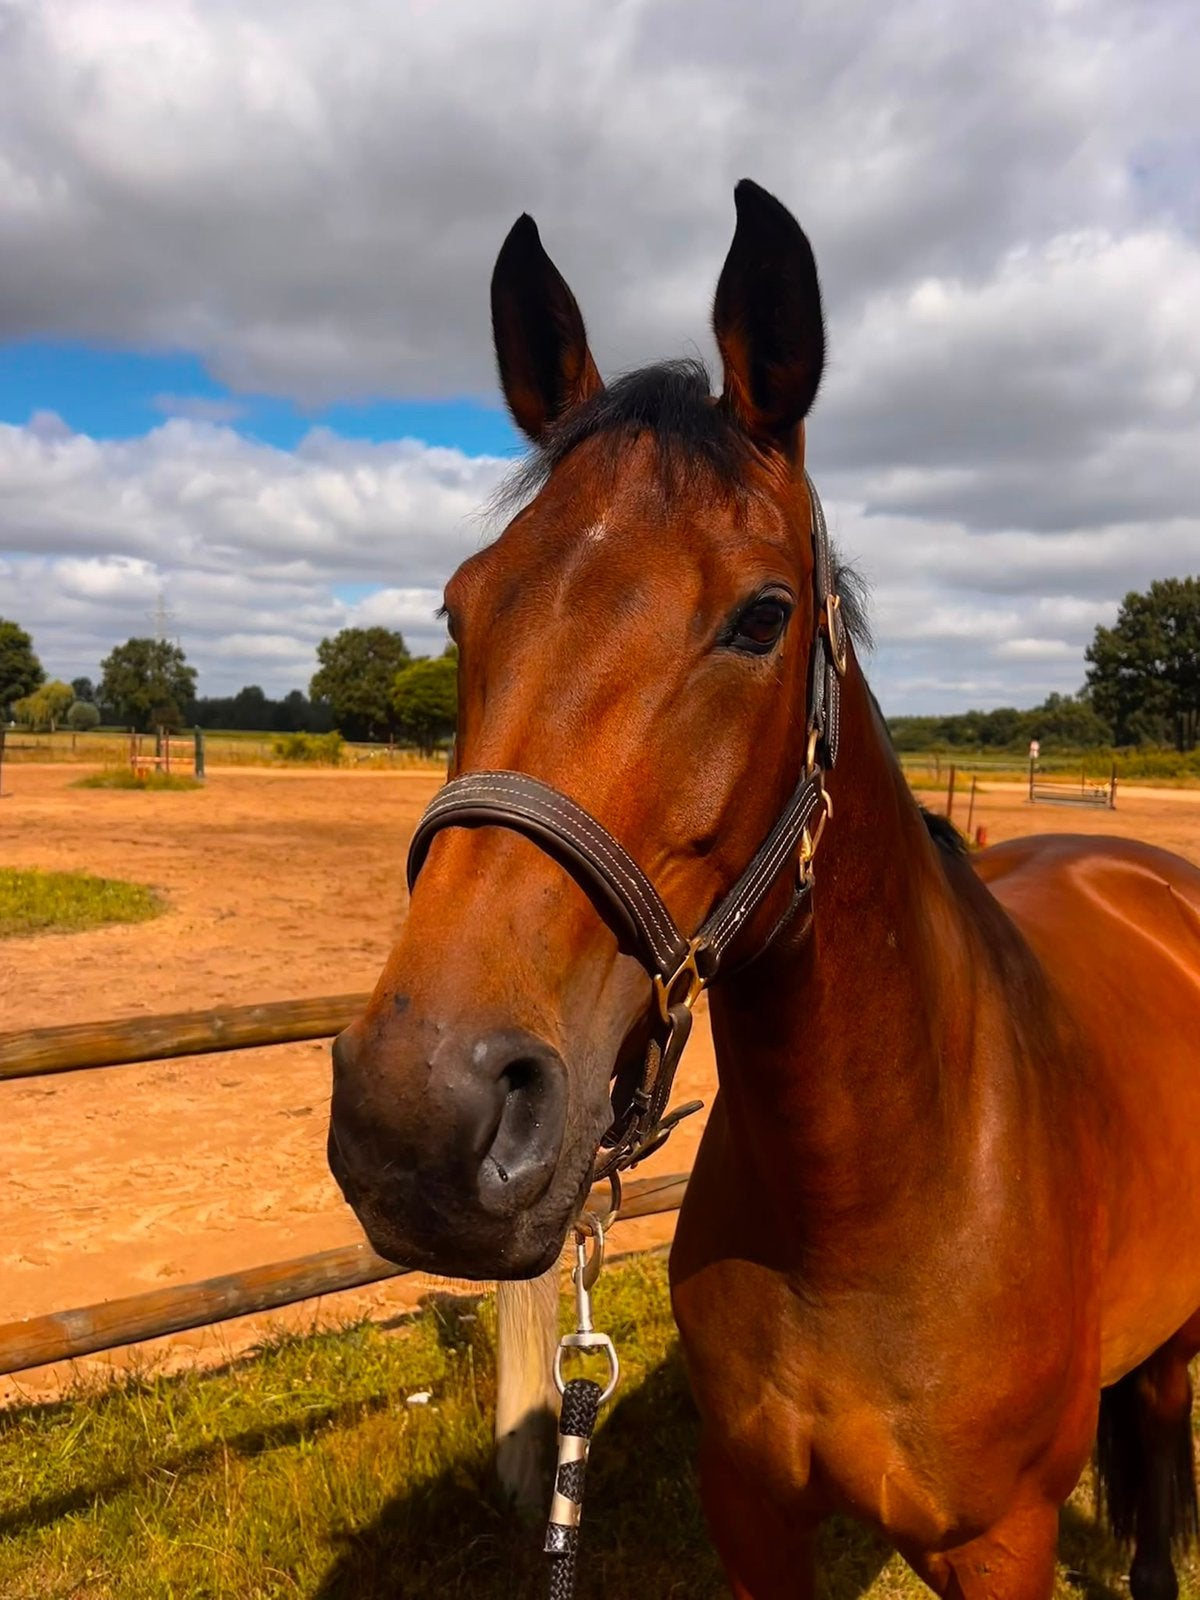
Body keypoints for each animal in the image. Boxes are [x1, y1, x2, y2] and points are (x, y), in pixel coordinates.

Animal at [328, 179, 1200, 1599]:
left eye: (762, 616)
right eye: (462, 610)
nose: (419, 1118)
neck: (867, 1208)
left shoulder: (1002, 1543)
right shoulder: (748, 1509)